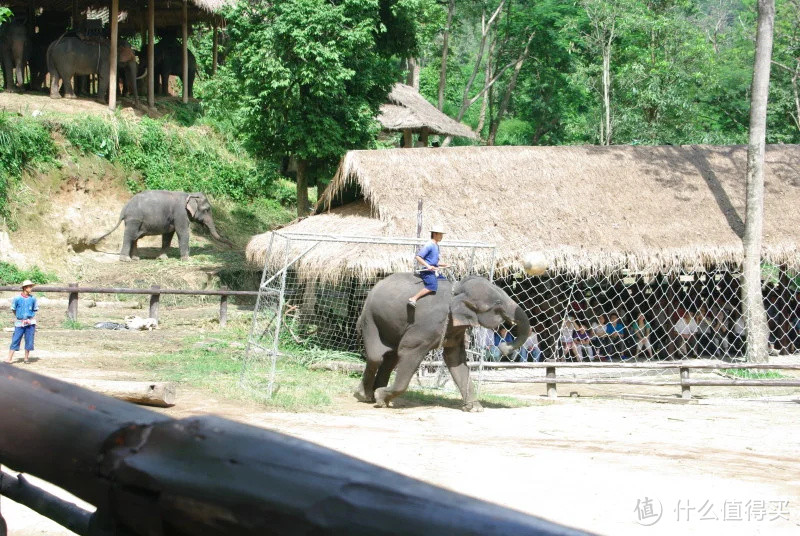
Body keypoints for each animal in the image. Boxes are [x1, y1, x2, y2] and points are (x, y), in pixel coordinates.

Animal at [92, 191, 234, 262]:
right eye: (207, 210)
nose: (232, 246)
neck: (189, 194)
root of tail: (124, 209)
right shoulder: (180, 213)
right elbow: (182, 232)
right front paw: (186, 259)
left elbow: (168, 235)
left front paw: (162, 258)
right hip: (134, 219)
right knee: (129, 236)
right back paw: (126, 260)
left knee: (135, 237)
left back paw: (136, 259)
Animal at [356, 274, 532, 412]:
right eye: (498, 302)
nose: (503, 348)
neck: (457, 289)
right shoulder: (425, 326)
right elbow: (408, 350)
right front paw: (381, 398)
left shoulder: (455, 328)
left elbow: (455, 359)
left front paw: (475, 408)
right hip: (370, 318)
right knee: (376, 357)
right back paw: (366, 396)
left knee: (390, 358)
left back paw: (373, 394)